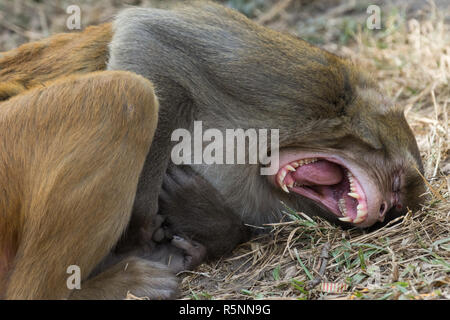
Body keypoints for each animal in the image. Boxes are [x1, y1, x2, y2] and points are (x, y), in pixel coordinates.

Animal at [0, 1, 426, 298]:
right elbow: (148, 37)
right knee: (126, 94)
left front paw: (203, 217)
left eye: (395, 209)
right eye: (395, 185)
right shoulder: (306, 85)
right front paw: (141, 231)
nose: (383, 208)